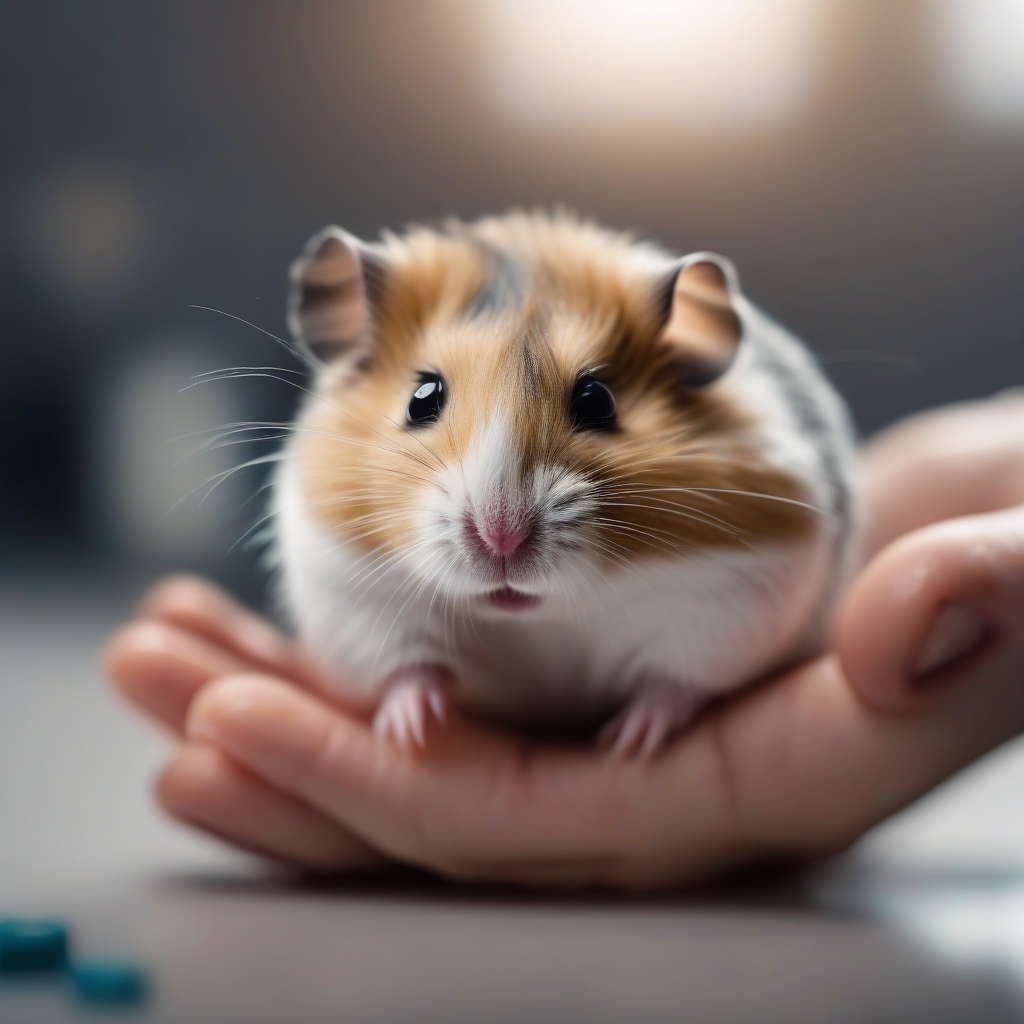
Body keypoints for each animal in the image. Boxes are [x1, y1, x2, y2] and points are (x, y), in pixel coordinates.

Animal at [273, 211, 857, 757]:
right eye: (421, 399)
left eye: (598, 400)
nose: (500, 537)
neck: (541, 616)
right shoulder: (349, 595)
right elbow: (404, 669)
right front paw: (414, 733)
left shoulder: (731, 602)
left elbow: (673, 683)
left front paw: (630, 744)